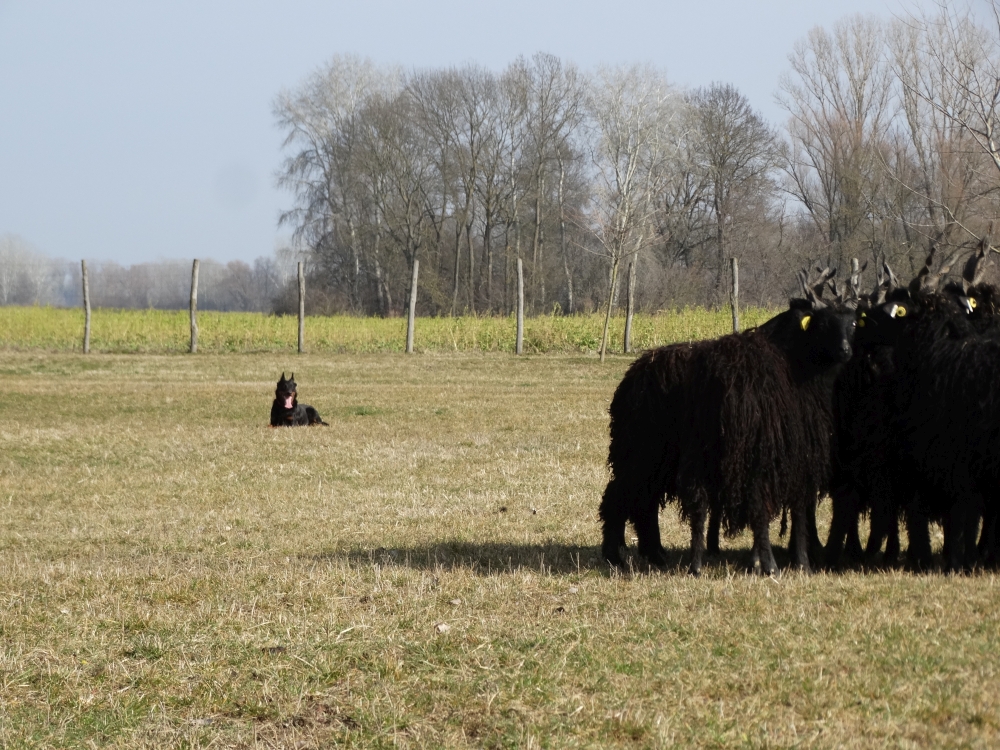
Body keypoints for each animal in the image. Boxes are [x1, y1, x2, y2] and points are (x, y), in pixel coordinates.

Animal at [596, 274, 856, 576]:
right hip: (639, 452)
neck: (793, 363)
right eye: (824, 323)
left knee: (642, 502)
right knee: (620, 496)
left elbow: (797, 510)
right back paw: (616, 555)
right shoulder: (766, 456)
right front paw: (770, 563)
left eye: (852, 323)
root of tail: (631, 376)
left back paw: (654, 554)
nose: (846, 351)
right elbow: (771, 508)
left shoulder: (793, 458)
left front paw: (790, 561)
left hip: (656, 458)